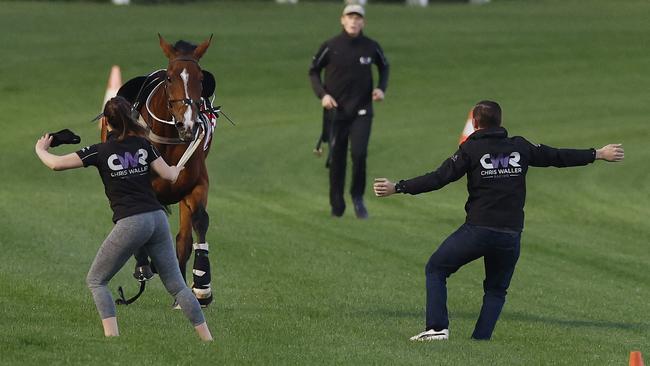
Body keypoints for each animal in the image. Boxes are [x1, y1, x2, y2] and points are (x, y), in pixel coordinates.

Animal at [102, 35, 216, 308]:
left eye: (201, 79)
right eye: (170, 78)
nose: (187, 124)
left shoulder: (195, 185)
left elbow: (198, 222)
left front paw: (201, 287)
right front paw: (144, 264)